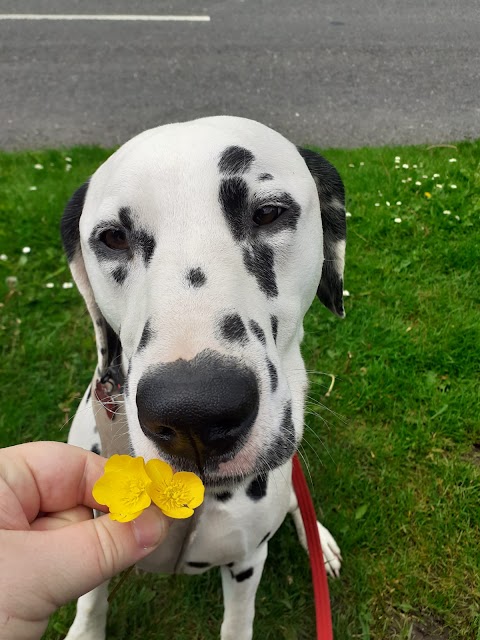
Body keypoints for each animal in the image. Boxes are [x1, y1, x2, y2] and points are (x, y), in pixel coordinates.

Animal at [61, 116, 344, 640]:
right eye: (112, 238)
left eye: (268, 213)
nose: (194, 414)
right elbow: (90, 602)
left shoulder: (247, 560)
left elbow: (238, 620)